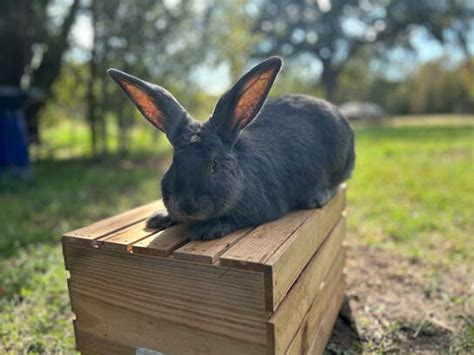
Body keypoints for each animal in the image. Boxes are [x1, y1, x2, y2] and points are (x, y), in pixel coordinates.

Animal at [106, 57, 352, 242]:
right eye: (174, 162)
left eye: (214, 164)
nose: (187, 205)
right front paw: (158, 218)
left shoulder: (264, 207)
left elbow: (235, 219)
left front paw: (206, 230)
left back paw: (315, 197)